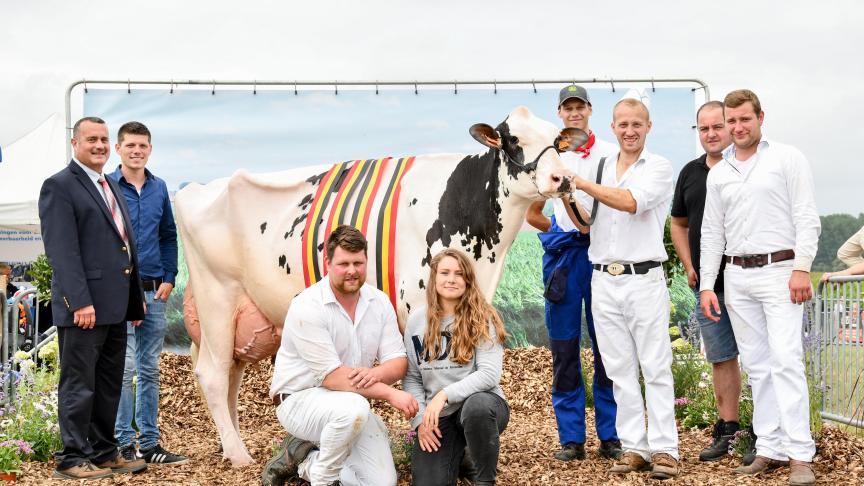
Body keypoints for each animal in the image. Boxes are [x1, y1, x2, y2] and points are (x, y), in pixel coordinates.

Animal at [174, 104, 588, 466]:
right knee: (212, 374)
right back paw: (238, 455)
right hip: (216, 296)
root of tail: (195, 188)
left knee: (229, 374)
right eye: (512, 140)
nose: (564, 179)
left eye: (557, 139)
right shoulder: (414, 307)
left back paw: (228, 445)